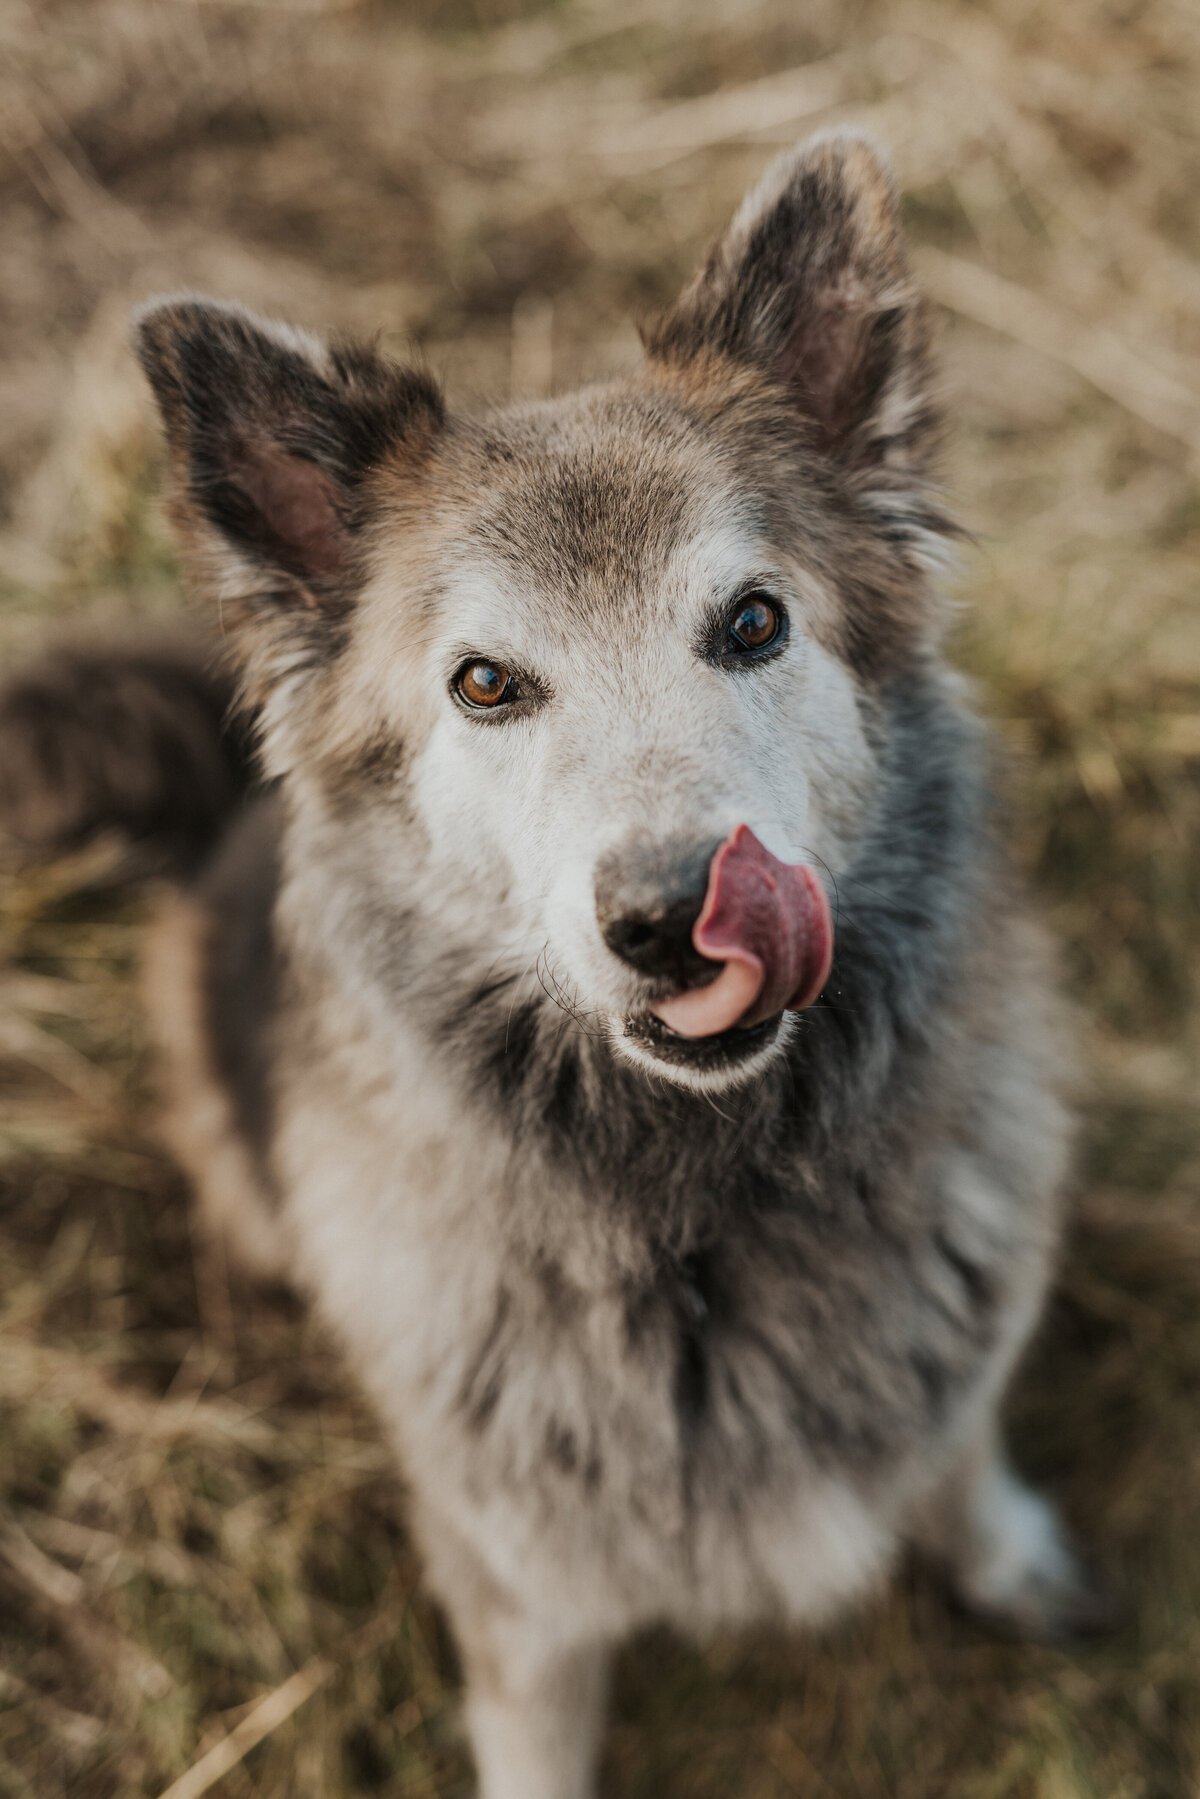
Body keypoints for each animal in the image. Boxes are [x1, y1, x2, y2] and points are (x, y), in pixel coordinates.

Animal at [0, 130, 1108, 1799]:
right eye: (484, 683)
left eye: (754, 621)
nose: (668, 915)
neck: (698, 1216)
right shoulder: (522, 1605)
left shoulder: (952, 1343)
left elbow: (959, 1441)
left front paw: (1009, 1553)